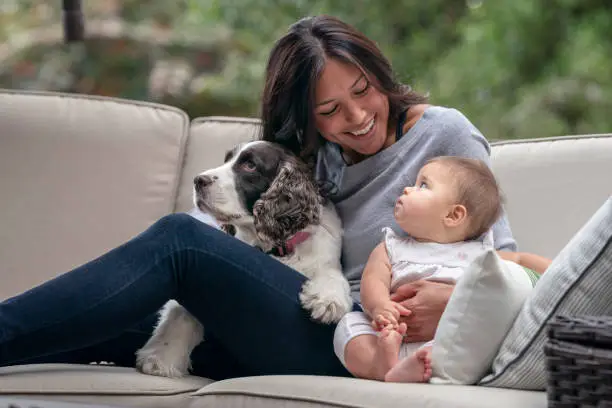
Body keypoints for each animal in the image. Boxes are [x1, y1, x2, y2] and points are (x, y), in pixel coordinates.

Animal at [136, 142, 352, 378]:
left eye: (250, 165)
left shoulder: (325, 258)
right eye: (226, 160)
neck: (273, 247)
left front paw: (328, 301)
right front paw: (160, 357)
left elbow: (330, 275)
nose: (198, 180)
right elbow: (180, 312)